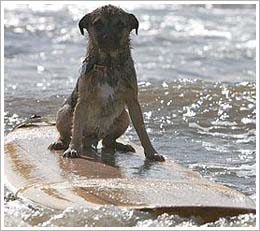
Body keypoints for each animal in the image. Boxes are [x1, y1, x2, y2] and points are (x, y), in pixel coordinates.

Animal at [49, 4, 165, 162]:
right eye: (98, 24)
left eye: (120, 24)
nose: (108, 37)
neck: (109, 64)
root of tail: (92, 139)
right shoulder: (82, 102)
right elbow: (76, 127)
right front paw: (73, 149)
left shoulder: (133, 101)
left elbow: (142, 129)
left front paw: (152, 152)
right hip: (65, 111)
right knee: (69, 134)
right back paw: (61, 142)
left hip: (124, 117)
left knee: (108, 141)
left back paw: (121, 145)